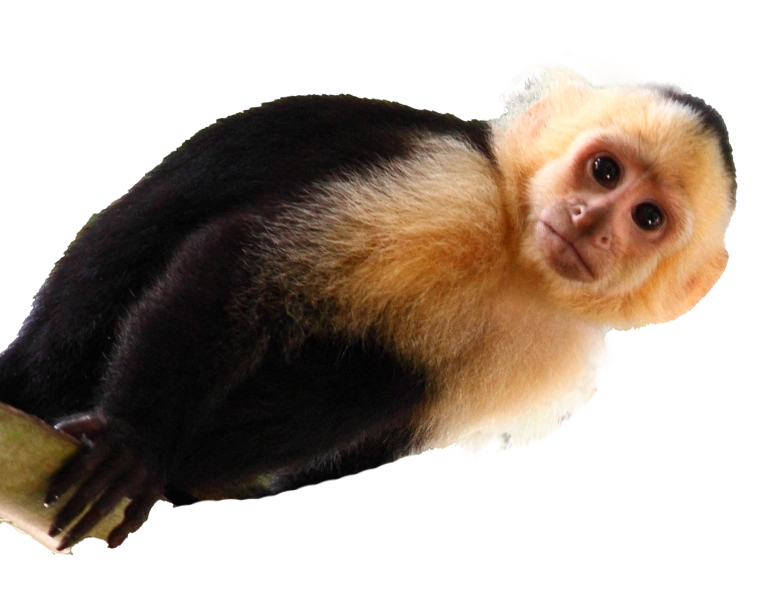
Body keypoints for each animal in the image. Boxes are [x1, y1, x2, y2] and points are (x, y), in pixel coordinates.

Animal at [0, 53, 735, 550]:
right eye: (604, 170)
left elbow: (371, 448)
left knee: (386, 378)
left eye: (646, 218)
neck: (517, 263)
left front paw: (183, 474)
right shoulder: (453, 190)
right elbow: (247, 268)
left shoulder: (553, 353)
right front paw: (138, 441)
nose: (588, 222)